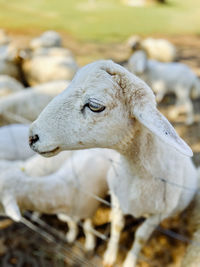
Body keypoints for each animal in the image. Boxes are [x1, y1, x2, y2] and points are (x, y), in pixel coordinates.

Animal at [29, 60, 198, 267]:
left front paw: (129, 261)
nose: (32, 136)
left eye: (94, 105)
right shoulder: (118, 198)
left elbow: (140, 237)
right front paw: (110, 255)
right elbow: (117, 226)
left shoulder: (158, 214)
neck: (138, 172)